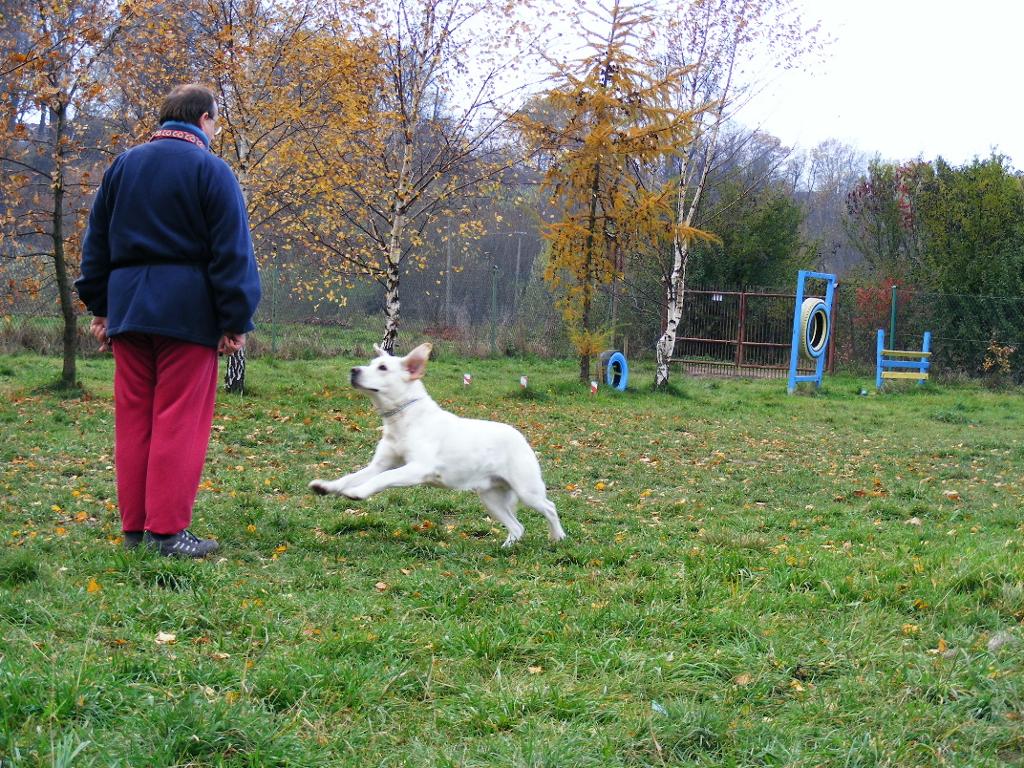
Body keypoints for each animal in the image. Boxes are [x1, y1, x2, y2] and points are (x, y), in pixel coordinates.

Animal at [309, 342, 569, 548]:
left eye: (383, 368)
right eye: (371, 363)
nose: (353, 370)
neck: (404, 419)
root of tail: (521, 437)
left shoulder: (417, 469)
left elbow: (382, 479)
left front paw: (357, 493)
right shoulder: (379, 464)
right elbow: (350, 477)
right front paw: (325, 486)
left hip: (527, 491)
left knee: (550, 507)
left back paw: (558, 537)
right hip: (491, 499)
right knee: (517, 527)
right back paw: (506, 548)